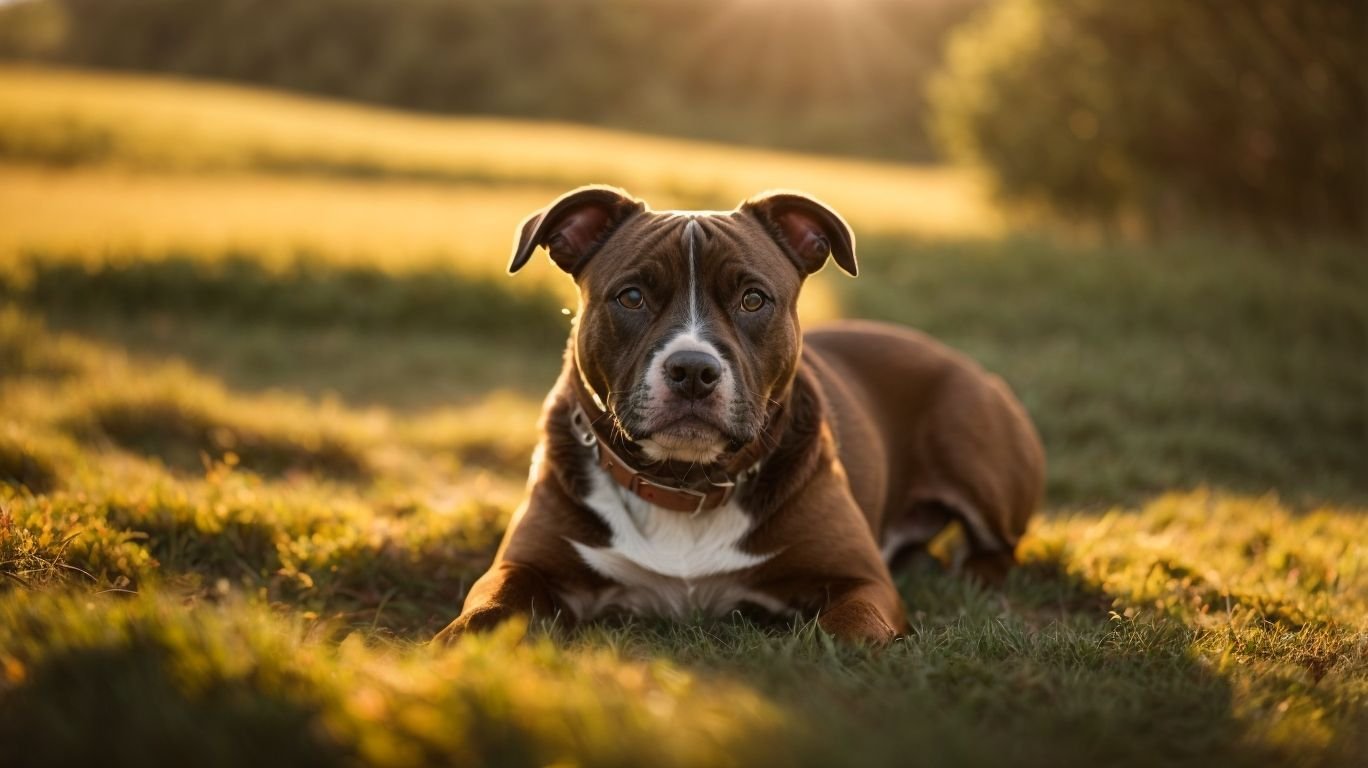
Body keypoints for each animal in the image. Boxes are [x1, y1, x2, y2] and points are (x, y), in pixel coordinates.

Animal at [432, 187, 1039, 646]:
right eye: (631, 297)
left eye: (753, 299)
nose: (693, 370)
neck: (684, 482)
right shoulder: (524, 566)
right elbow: (489, 606)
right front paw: (453, 645)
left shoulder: (861, 580)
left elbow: (853, 628)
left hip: (971, 444)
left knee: (1000, 547)